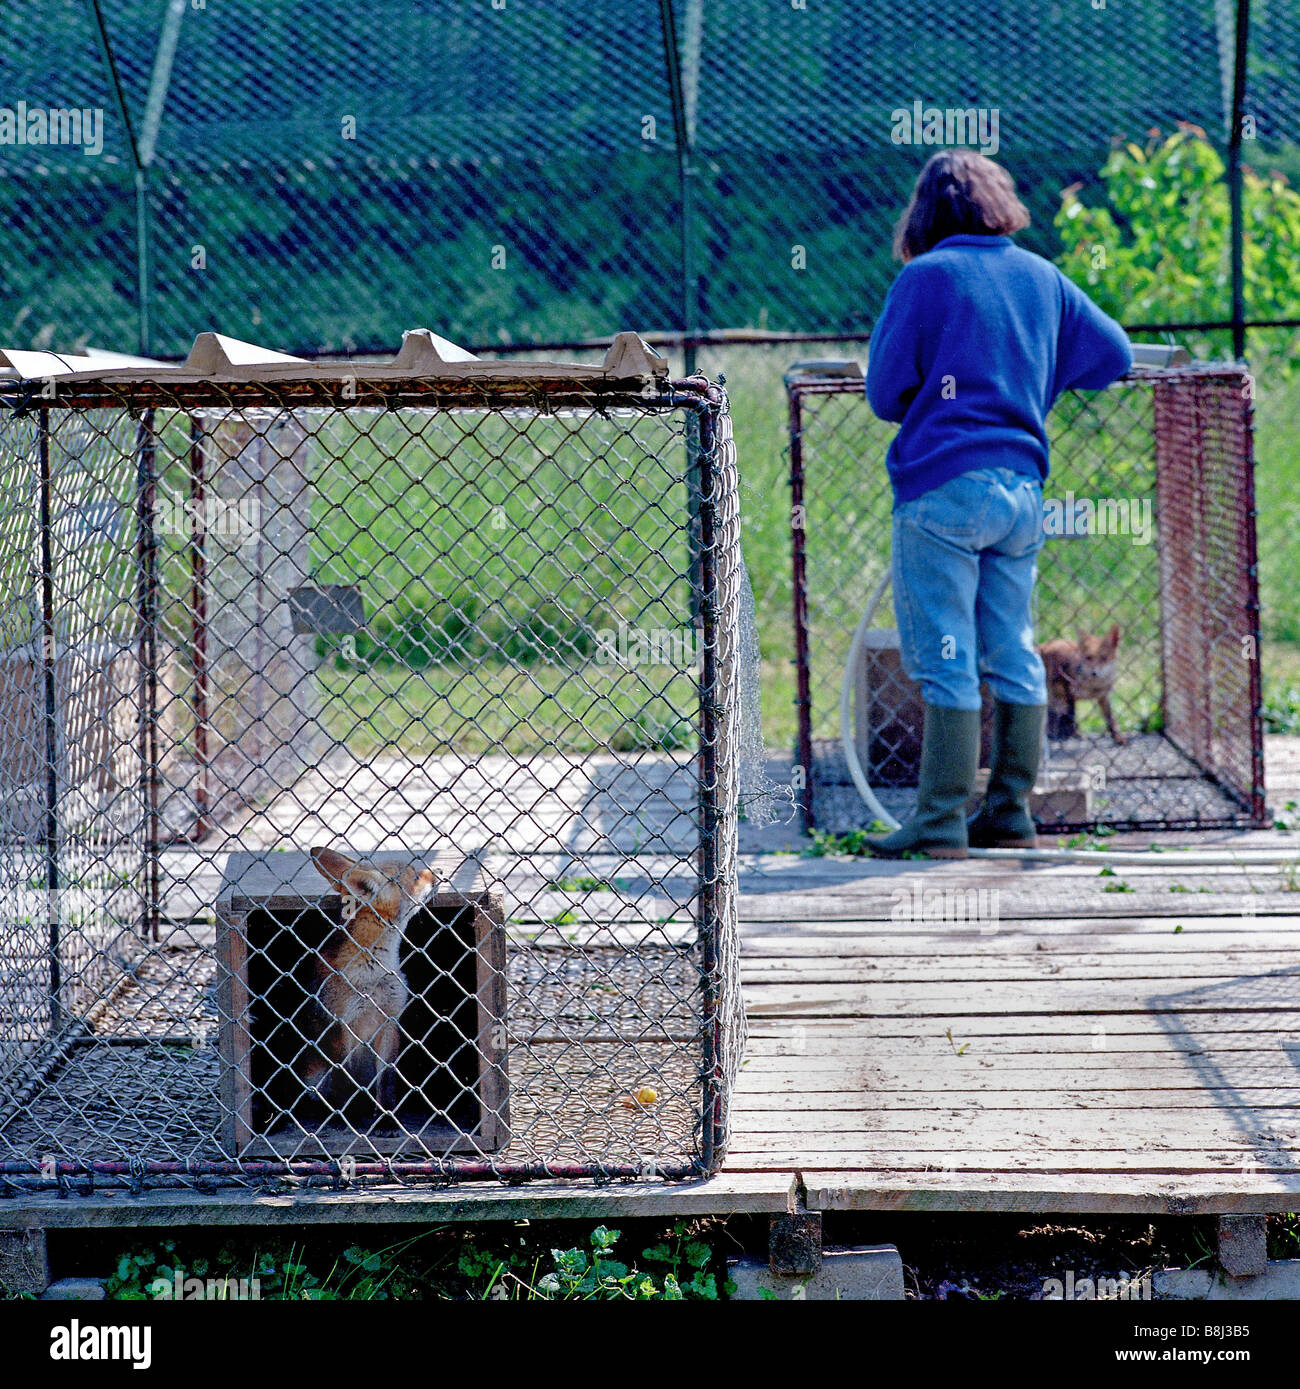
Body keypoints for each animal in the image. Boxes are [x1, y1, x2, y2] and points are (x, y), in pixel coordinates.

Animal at [302, 850, 436, 1111]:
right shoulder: (341, 1029)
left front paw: (387, 1116)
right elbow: (344, 1085)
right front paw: (348, 1115)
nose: (440, 873)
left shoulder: (390, 1020)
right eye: (415, 876)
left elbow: (386, 1081)